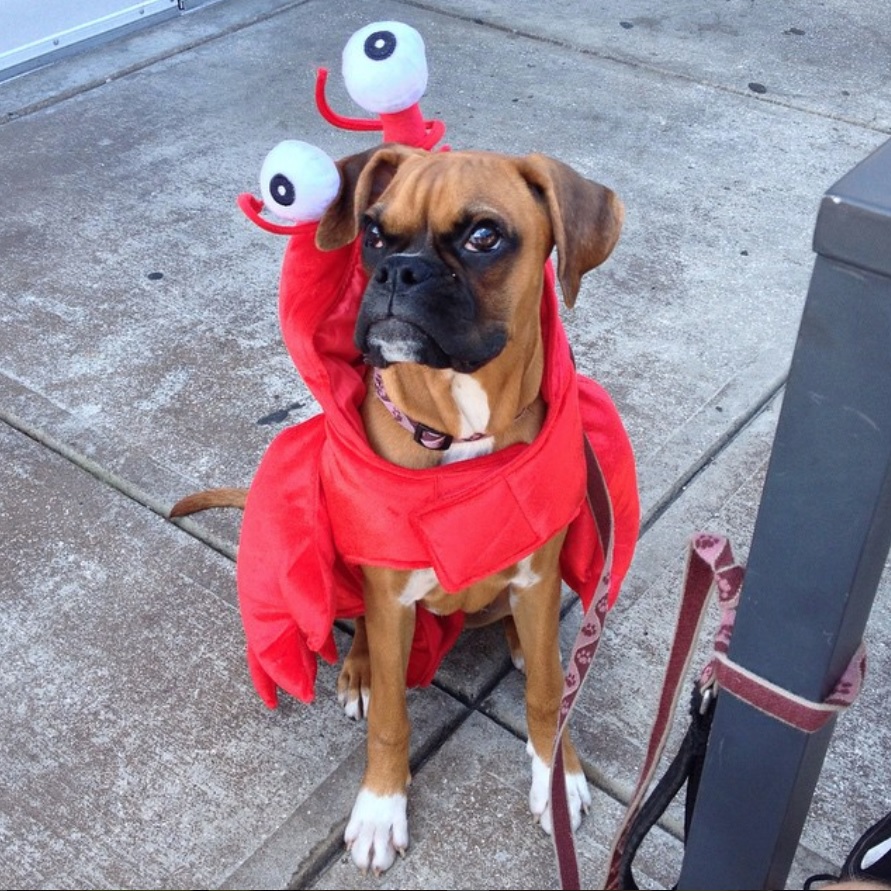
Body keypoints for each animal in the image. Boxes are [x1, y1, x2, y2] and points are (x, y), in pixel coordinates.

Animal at [171, 146, 624, 880]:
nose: (396, 271)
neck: (460, 434)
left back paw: (518, 642)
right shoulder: (391, 595)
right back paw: (357, 670)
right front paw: (382, 807)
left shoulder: (534, 577)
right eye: (375, 234)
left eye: (484, 236)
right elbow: (391, 714)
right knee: (362, 633)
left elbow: (547, 693)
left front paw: (557, 773)